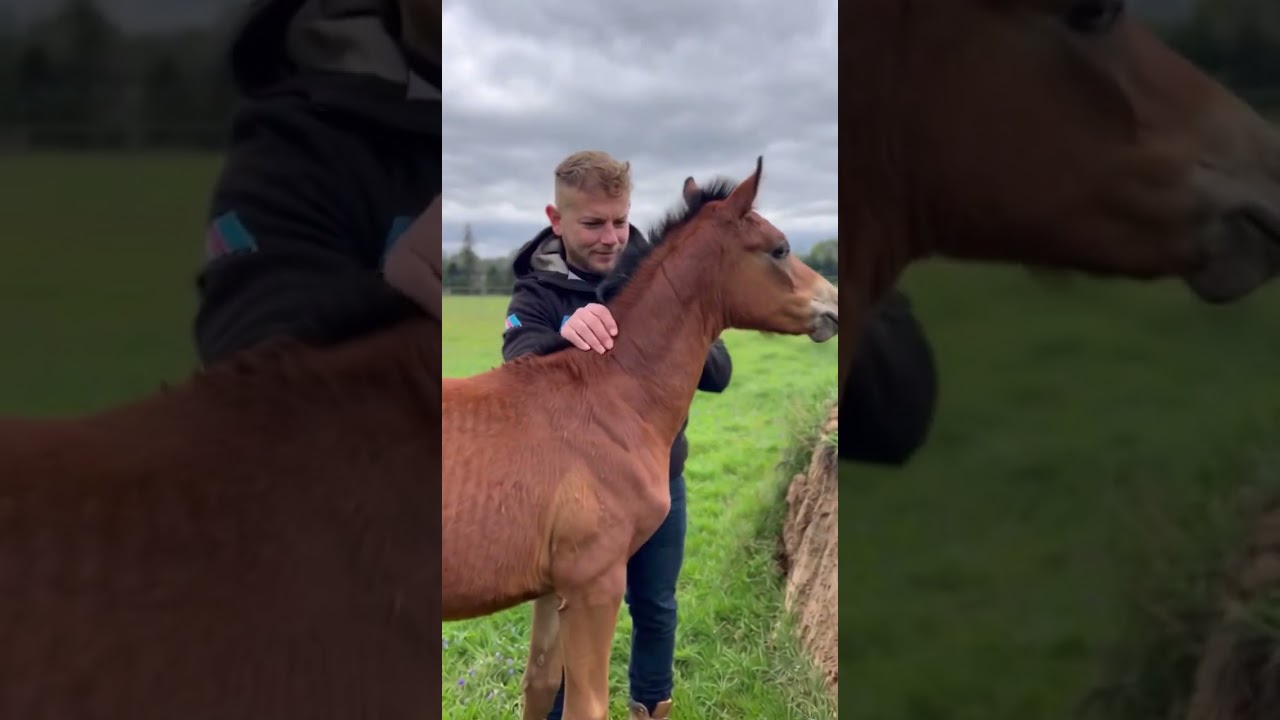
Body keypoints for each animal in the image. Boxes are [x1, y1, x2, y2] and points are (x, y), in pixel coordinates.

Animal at [440, 158, 838, 720]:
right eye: (780, 248)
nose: (834, 304)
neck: (612, 396)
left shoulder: (553, 589)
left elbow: (539, 684)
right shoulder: (596, 582)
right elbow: (587, 705)